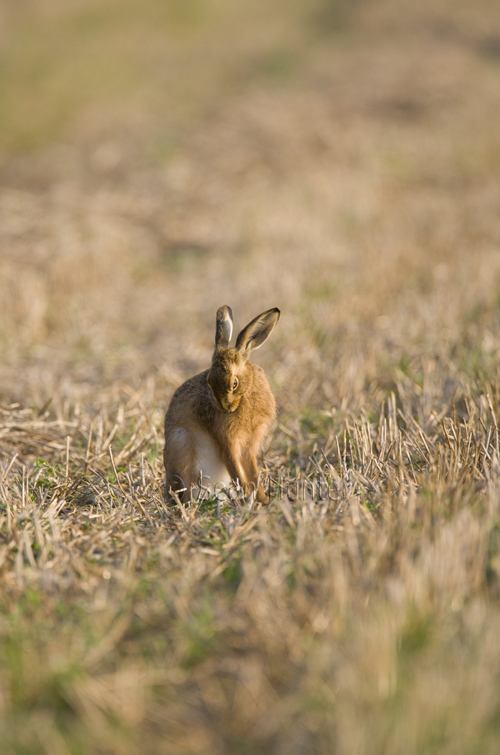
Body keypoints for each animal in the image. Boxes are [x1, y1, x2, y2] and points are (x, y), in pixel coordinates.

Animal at [164, 305, 280, 504]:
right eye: (209, 382)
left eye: (234, 383)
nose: (225, 408)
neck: (245, 394)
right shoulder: (227, 442)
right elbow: (237, 472)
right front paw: (249, 499)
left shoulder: (250, 445)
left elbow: (252, 473)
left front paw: (262, 500)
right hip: (181, 444)